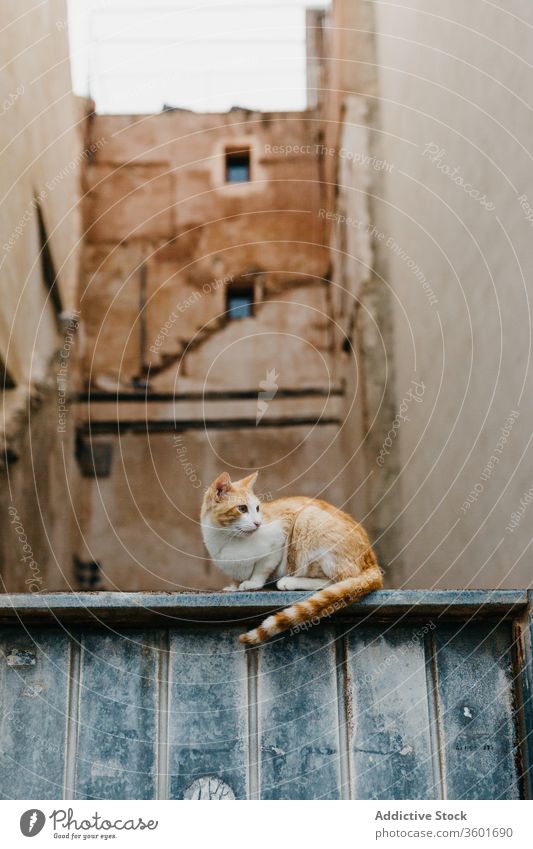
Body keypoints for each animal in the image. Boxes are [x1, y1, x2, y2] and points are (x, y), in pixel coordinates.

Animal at [201, 470, 382, 644]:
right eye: (242, 509)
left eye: (258, 508)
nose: (258, 523)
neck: (227, 538)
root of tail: (372, 560)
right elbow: (237, 578)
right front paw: (234, 586)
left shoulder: (278, 540)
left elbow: (262, 568)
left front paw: (252, 583)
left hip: (307, 519)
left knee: (339, 580)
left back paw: (290, 581)